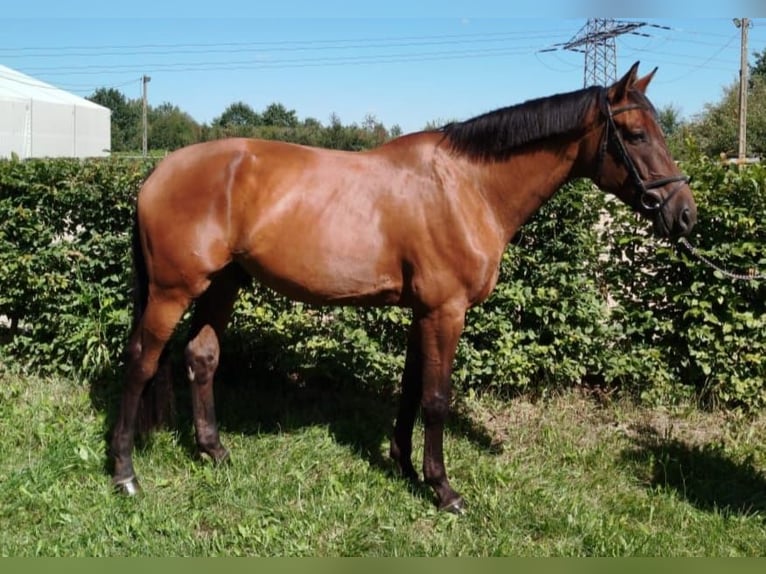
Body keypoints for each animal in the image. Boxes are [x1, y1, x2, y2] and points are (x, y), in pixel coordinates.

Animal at [111, 62, 700, 512]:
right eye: (636, 135)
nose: (685, 215)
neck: (465, 186)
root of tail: (158, 172)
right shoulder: (446, 311)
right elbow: (437, 398)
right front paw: (443, 489)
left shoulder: (423, 311)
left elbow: (413, 388)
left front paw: (403, 465)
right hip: (171, 290)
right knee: (140, 361)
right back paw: (125, 473)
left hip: (223, 283)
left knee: (201, 356)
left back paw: (214, 451)